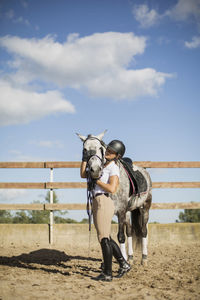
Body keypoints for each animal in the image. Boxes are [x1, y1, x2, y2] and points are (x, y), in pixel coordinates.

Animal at [76, 131, 152, 264]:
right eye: (84, 150)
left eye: (100, 148)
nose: (95, 170)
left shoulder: (120, 212)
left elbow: (120, 237)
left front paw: (123, 261)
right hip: (128, 212)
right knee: (130, 231)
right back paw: (130, 257)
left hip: (144, 208)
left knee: (143, 231)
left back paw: (144, 259)